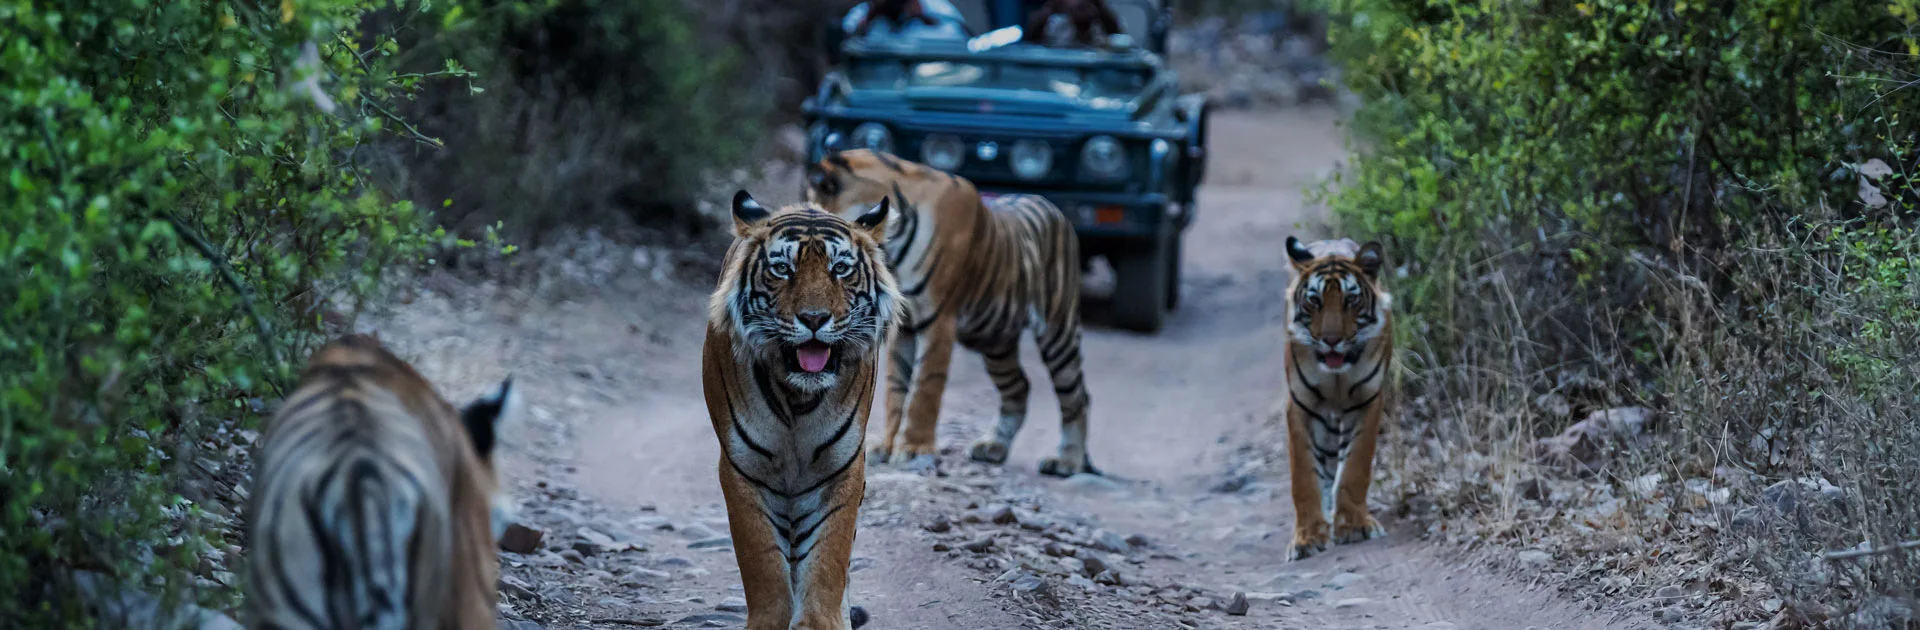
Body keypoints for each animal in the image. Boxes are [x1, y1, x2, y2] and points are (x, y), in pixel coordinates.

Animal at [702, 190, 895, 630]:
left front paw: (822, 621)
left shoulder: (842, 468)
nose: (813, 318)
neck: (798, 397)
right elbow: (761, 561)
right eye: (782, 269)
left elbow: (828, 558)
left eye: (840, 269)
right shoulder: (742, 468)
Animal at [804, 149, 1097, 478]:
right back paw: (994, 446)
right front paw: (886, 446)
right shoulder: (904, 328)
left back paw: (1066, 460)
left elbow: (924, 388)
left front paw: (914, 449)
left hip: (1057, 331)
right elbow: (895, 389)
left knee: (1076, 395)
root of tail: (1053, 208)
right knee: (1018, 386)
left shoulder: (938, 321)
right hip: (996, 342)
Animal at [1282, 236, 1393, 561]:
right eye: (1314, 301)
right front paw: (1306, 538)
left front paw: (1354, 526)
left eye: (1350, 300)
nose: (1331, 340)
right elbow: (1303, 476)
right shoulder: (1300, 405)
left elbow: (1355, 466)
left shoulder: (1367, 402)